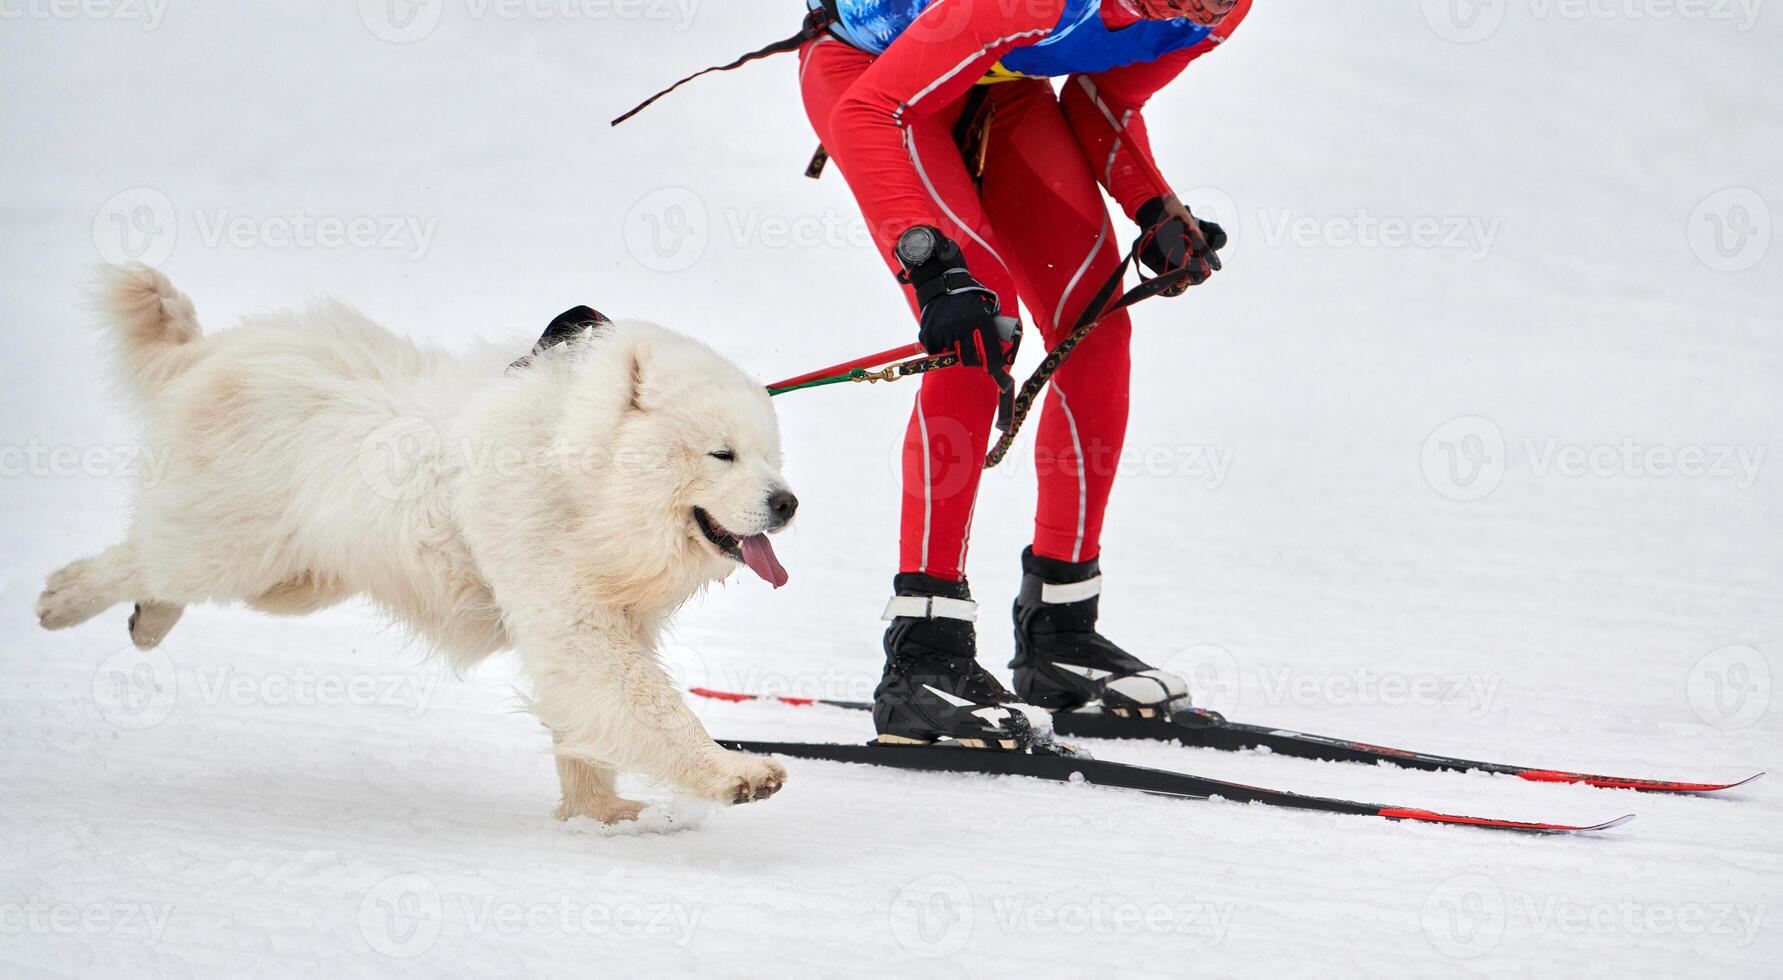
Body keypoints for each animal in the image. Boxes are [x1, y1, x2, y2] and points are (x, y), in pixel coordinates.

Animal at [36, 265, 795, 826]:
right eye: (722, 453)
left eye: (769, 454)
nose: (786, 503)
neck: (580, 477)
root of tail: (213, 350)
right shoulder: (573, 615)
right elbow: (648, 706)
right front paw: (737, 774)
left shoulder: (602, 621)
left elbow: (585, 719)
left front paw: (599, 814)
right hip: (231, 544)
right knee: (142, 556)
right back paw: (61, 599)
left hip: (296, 577)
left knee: (163, 568)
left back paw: (145, 619)